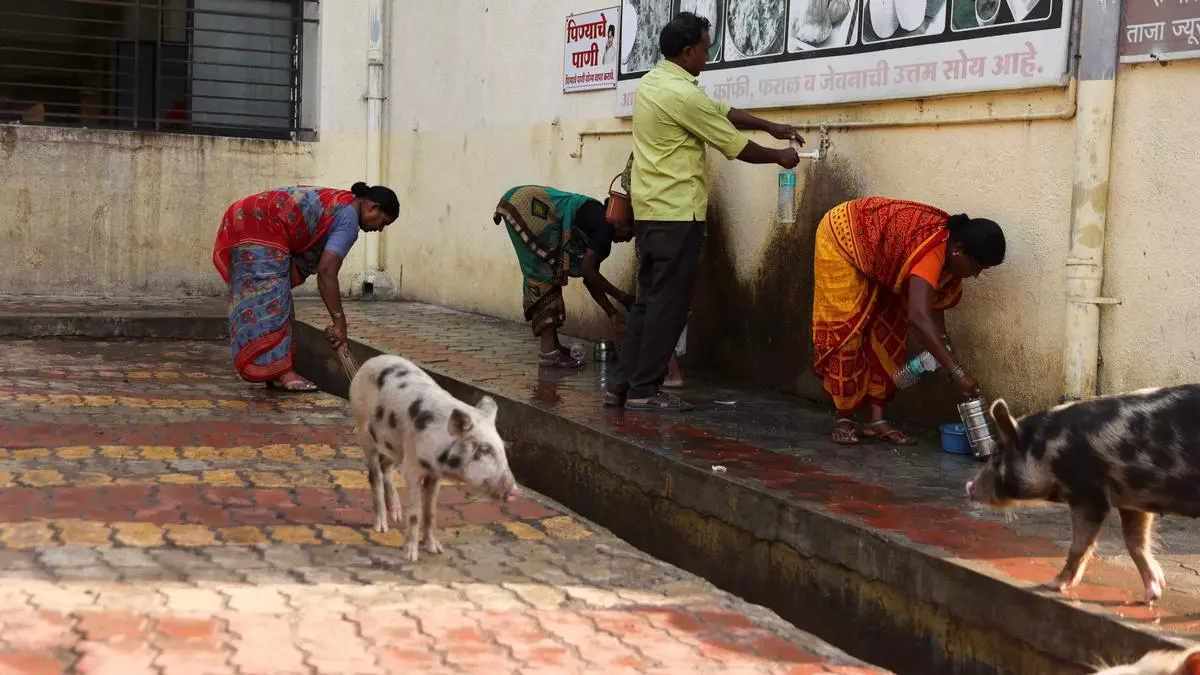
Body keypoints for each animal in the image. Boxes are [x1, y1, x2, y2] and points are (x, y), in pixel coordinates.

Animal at [348, 348, 516, 559]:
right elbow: (415, 513)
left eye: (503, 448)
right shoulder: (412, 469)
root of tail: (369, 362)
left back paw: (396, 515)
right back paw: (382, 527)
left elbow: (431, 512)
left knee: (386, 467)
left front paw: (436, 550)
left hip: (394, 446)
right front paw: (411, 557)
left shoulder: (435, 474)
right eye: (484, 449)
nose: (514, 490)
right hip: (364, 432)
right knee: (374, 476)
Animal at [960, 386, 1200, 600]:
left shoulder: (1088, 493)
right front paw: (1154, 592)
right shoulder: (1132, 499)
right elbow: (1135, 541)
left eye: (997, 455)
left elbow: (1080, 545)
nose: (969, 486)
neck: (1048, 450)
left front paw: (1051, 584)